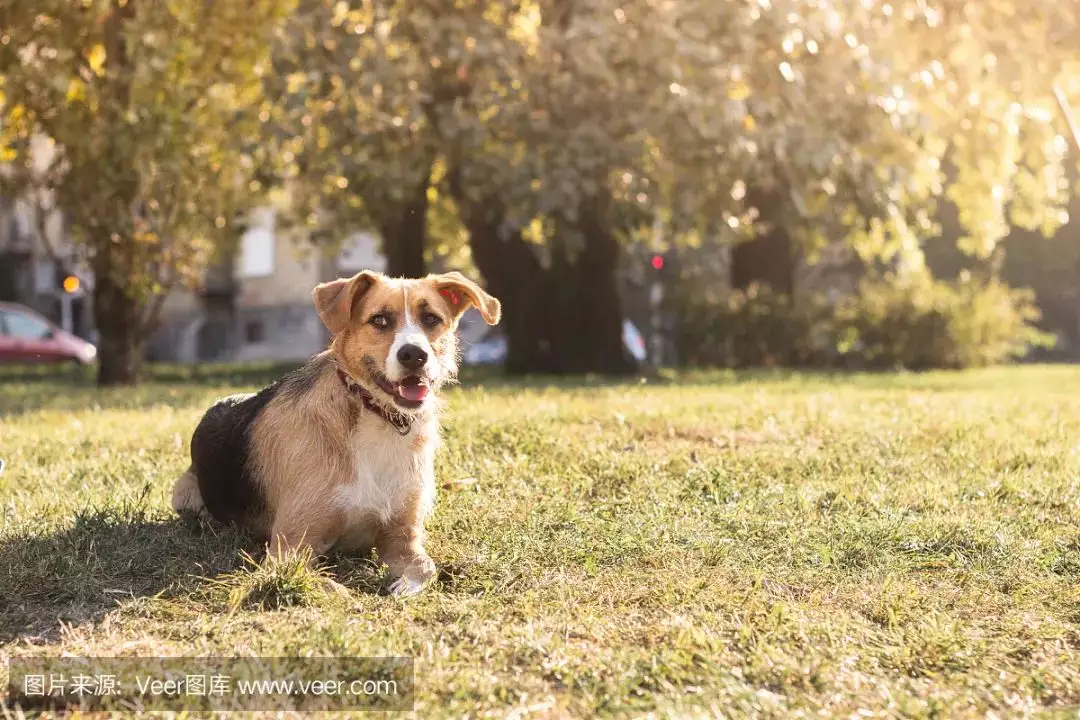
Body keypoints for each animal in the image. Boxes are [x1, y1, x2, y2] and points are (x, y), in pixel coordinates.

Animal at [171, 269, 501, 595]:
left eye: (431, 318)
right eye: (379, 320)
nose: (414, 355)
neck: (375, 414)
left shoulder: (403, 538)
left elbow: (425, 569)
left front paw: (405, 587)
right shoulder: (289, 549)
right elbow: (329, 588)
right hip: (185, 496)